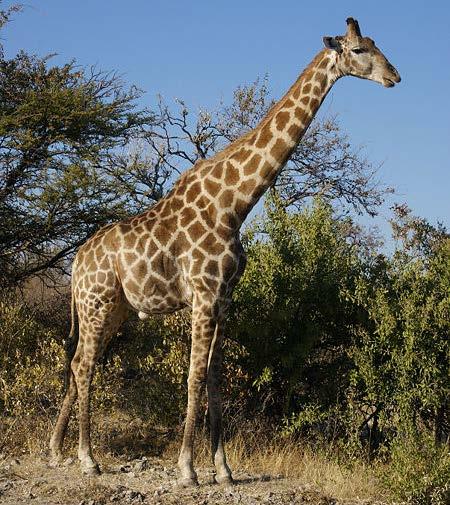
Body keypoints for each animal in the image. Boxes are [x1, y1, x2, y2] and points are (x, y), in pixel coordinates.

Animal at [50, 18, 400, 484]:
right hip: (97, 301)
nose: (395, 76)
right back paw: (87, 458)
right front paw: (187, 468)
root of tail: (75, 263)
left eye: (377, 44)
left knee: (77, 363)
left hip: (115, 308)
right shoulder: (202, 295)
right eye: (360, 49)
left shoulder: (225, 299)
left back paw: (56, 451)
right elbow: (195, 377)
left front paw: (224, 469)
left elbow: (215, 378)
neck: (233, 205)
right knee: (85, 365)